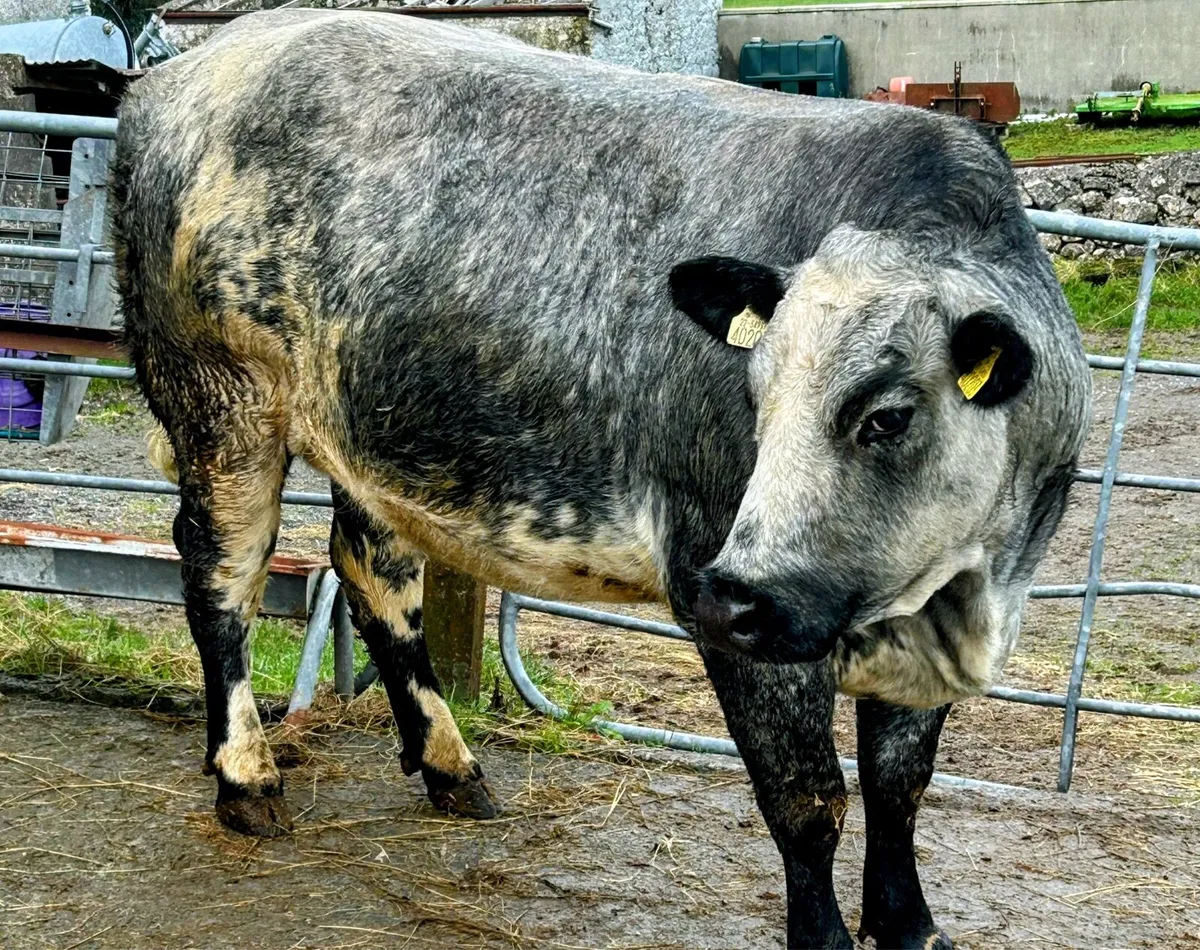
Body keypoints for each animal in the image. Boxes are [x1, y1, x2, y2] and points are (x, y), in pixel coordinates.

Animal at [110, 10, 1091, 948]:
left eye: (888, 414)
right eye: (756, 395)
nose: (738, 594)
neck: (954, 602)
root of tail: (189, 67)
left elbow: (899, 788)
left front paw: (913, 926)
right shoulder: (728, 594)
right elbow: (810, 800)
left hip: (371, 434)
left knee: (371, 574)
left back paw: (450, 765)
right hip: (221, 407)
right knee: (220, 578)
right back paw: (247, 777)